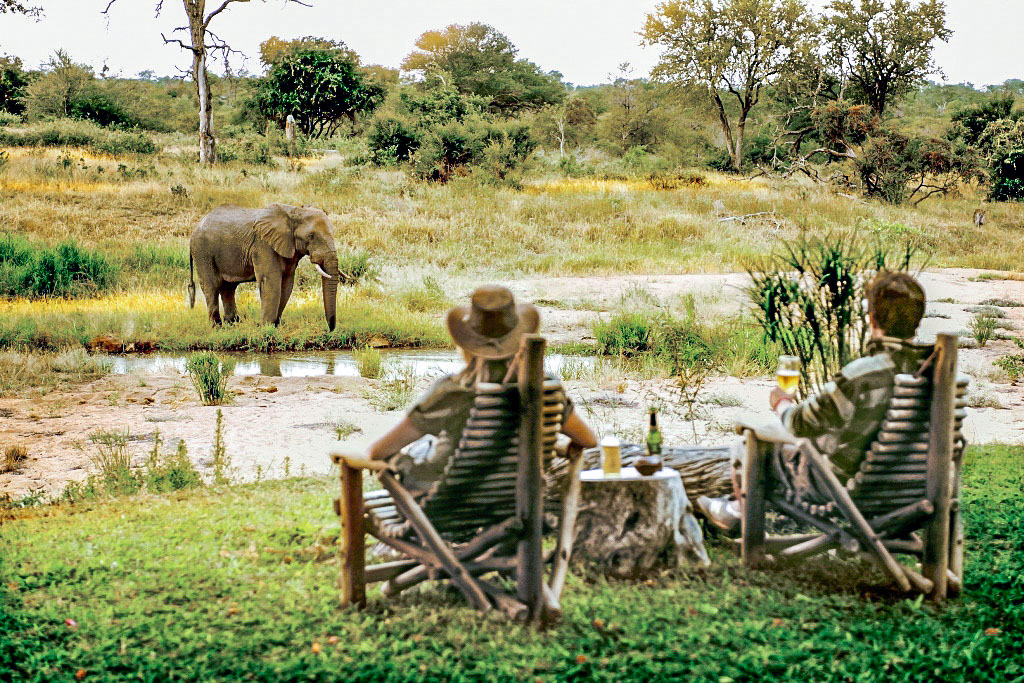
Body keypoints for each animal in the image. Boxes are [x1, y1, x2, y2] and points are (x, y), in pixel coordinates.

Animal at [188, 202, 339, 331]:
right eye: (311, 236)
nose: (329, 330)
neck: (294, 211)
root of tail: (195, 227)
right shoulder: (263, 245)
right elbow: (271, 282)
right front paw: (266, 328)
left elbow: (286, 285)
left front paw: (275, 326)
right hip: (202, 252)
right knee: (212, 286)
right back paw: (217, 327)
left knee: (228, 288)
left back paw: (233, 324)